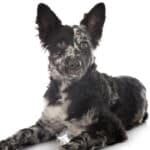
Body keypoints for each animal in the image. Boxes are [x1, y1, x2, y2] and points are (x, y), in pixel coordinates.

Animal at [0, 2, 148, 150]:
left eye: (84, 44)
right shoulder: (47, 124)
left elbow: (82, 137)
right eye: (60, 44)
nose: (74, 64)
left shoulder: (111, 127)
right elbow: (24, 133)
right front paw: (6, 143)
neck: (69, 90)